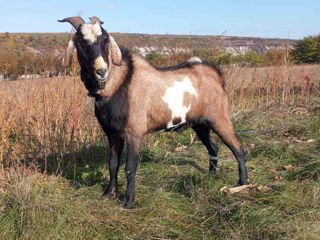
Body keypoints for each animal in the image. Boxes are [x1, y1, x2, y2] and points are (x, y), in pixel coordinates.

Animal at [58, 16, 249, 208]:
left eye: (105, 40)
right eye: (81, 43)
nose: (101, 71)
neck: (118, 84)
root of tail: (216, 74)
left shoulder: (134, 132)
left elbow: (130, 168)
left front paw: (128, 200)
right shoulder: (112, 133)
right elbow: (113, 164)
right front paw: (109, 193)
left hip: (219, 118)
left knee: (238, 148)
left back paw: (243, 183)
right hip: (200, 124)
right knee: (213, 146)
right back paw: (212, 174)